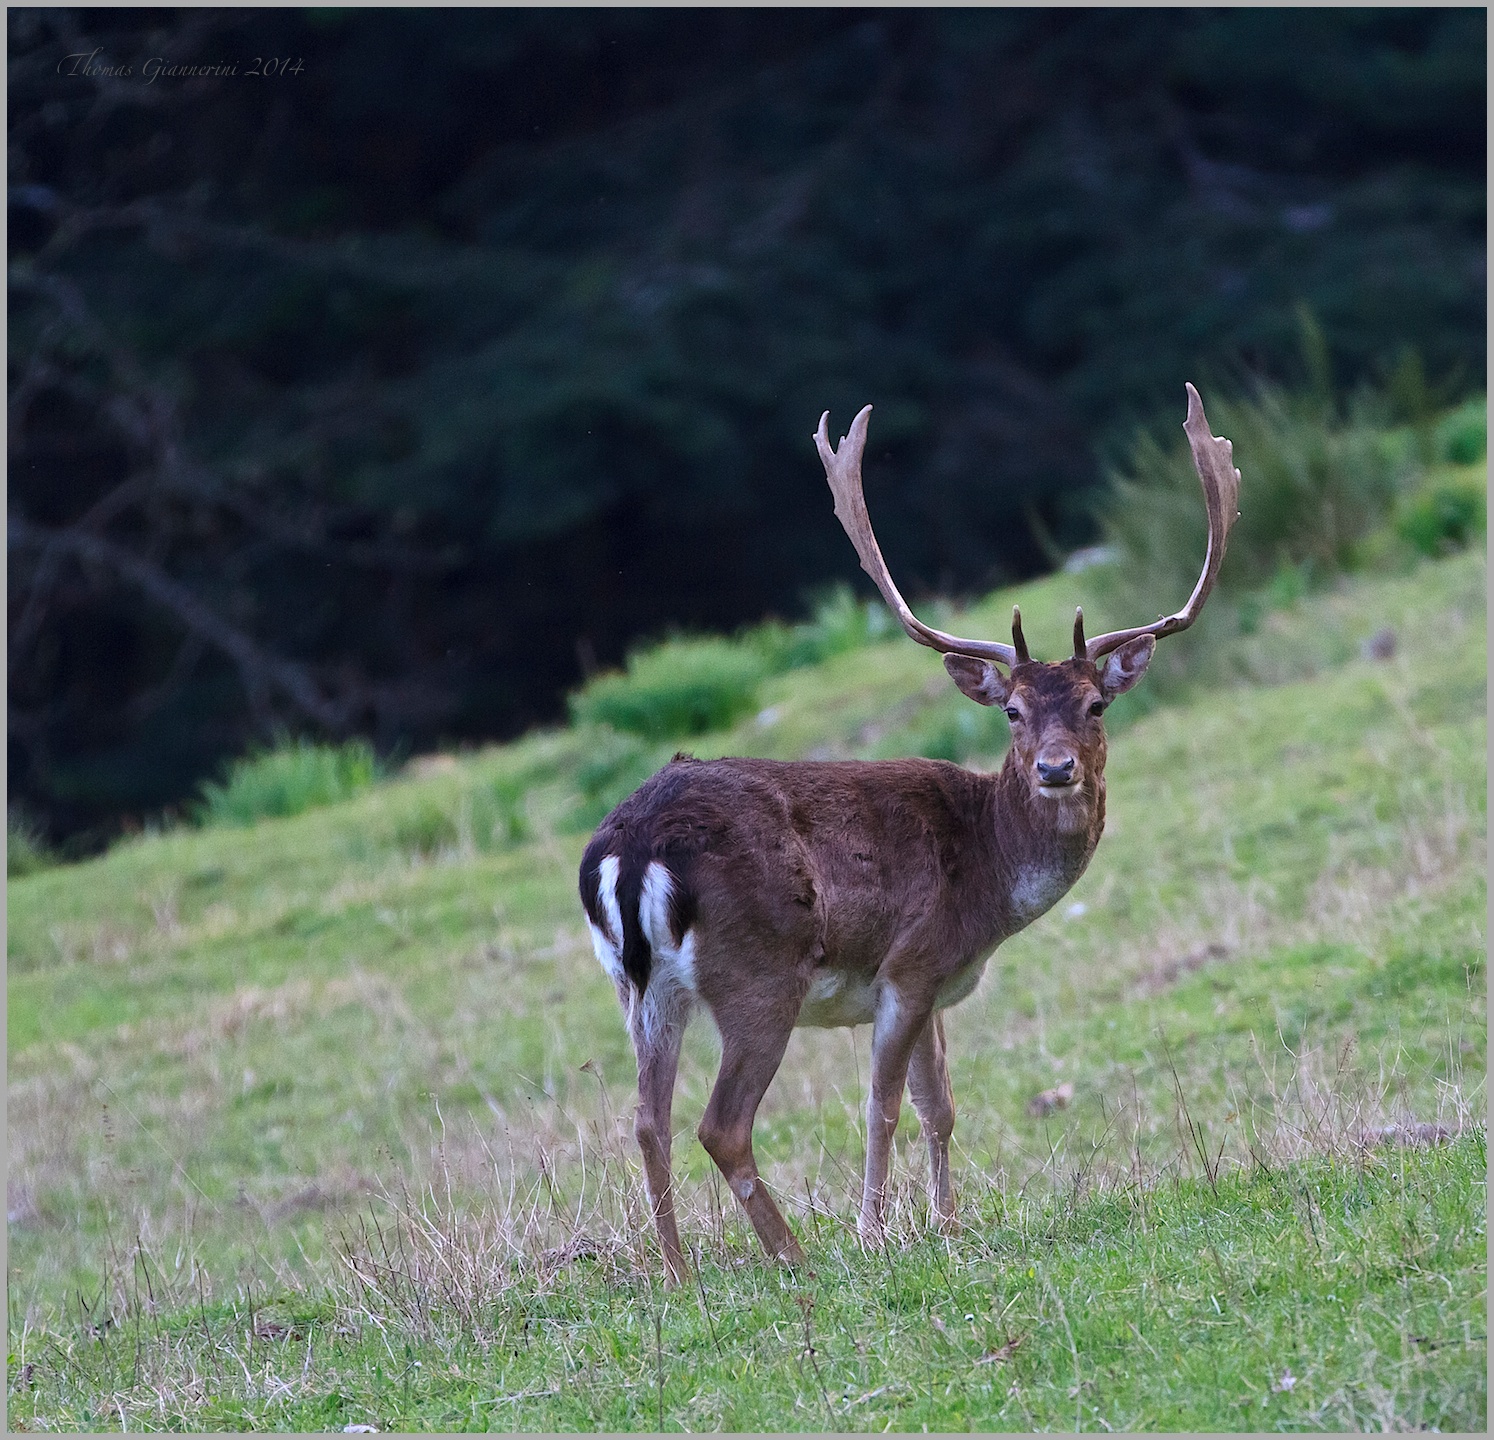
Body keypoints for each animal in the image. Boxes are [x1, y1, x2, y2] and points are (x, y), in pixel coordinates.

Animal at [579, 383, 1240, 1284]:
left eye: (1096, 704)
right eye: (1012, 711)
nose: (1056, 769)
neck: (991, 881)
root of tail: (630, 848)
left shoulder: (938, 982)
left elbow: (941, 1105)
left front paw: (948, 1225)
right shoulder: (911, 962)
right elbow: (883, 1105)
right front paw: (875, 1232)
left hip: (641, 990)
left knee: (646, 1120)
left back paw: (680, 1274)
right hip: (759, 973)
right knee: (720, 1123)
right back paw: (794, 1257)